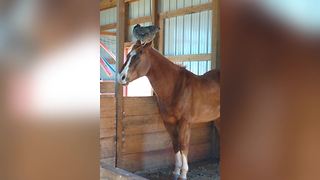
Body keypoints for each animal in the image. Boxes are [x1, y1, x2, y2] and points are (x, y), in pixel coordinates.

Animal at [117, 40, 220, 180]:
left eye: (138, 56)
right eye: (128, 56)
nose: (120, 77)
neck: (176, 87)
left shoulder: (184, 123)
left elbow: (183, 145)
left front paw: (183, 174)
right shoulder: (168, 122)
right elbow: (175, 144)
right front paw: (176, 172)